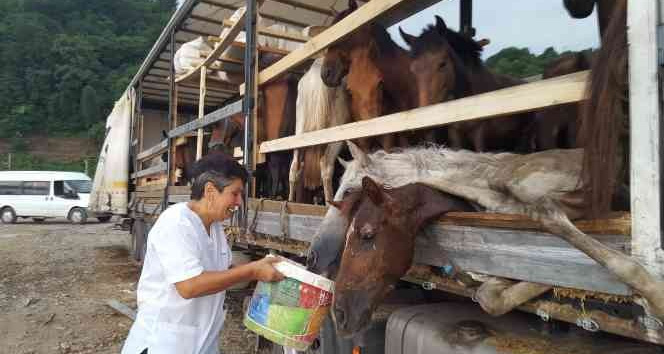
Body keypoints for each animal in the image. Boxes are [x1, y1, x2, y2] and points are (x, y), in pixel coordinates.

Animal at [396, 16, 532, 152]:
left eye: (442, 63)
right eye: (413, 70)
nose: (426, 122)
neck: (466, 106)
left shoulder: (480, 135)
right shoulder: (455, 136)